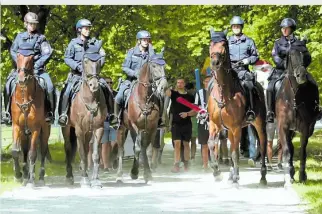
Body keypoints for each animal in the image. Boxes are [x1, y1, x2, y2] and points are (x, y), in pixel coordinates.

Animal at [10, 52, 50, 187]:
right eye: (18, 59)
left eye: (31, 60)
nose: (22, 79)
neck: (25, 96)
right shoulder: (17, 126)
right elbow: (16, 151)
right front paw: (18, 176)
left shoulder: (35, 128)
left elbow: (33, 154)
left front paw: (32, 181)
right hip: (24, 133)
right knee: (25, 151)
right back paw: (25, 175)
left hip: (45, 131)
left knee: (43, 150)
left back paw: (40, 177)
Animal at [115, 54, 167, 183]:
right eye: (154, 66)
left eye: (164, 65)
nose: (164, 86)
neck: (144, 98)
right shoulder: (135, 126)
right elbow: (138, 148)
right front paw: (136, 172)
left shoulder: (152, 128)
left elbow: (146, 149)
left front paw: (147, 173)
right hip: (122, 129)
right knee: (121, 149)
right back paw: (119, 175)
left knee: (139, 147)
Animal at [208, 29, 268, 186]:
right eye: (211, 44)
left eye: (224, 44)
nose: (215, 62)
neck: (224, 93)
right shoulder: (214, 125)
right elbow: (211, 144)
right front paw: (217, 172)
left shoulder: (235, 127)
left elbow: (234, 153)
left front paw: (235, 178)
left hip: (258, 124)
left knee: (263, 145)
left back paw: (263, 177)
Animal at [274, 47, 320, 186]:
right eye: (291, 55)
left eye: (305, 54)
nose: (302, 75)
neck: (293, 97)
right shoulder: (283, 127)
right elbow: (287, 151)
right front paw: (288, 177)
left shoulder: (305, 128)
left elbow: (303, 151)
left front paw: (302, 176)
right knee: (289, 147)